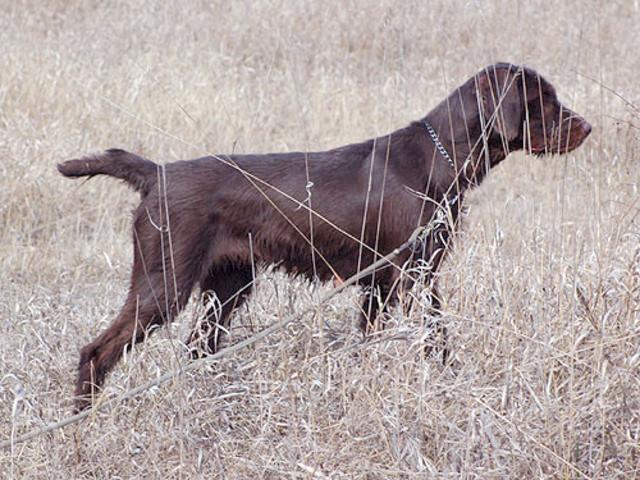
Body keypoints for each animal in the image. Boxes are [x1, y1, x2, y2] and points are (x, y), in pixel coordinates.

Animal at [58, 62, 592, 410]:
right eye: (542, 100)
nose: (587, 126)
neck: (438, 158)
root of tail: (157, 173)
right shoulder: (412, 274)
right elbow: (433, 340)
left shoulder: (384, 284)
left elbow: (376, 343)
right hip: (164, 283)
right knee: (96, 353)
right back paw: (85, 422)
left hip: (228, 285)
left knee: (198, 349)